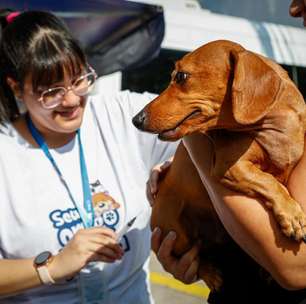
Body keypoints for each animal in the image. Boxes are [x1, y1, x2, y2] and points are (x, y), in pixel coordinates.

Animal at [133, 40, 306, 302]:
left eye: (181, 76)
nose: (136, 119)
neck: (273, 127)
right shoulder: (230, 167)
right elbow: (269, 181)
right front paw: (292, 215)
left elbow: (274, 179)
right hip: (175, 232)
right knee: (194, 256)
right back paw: (211, 274)